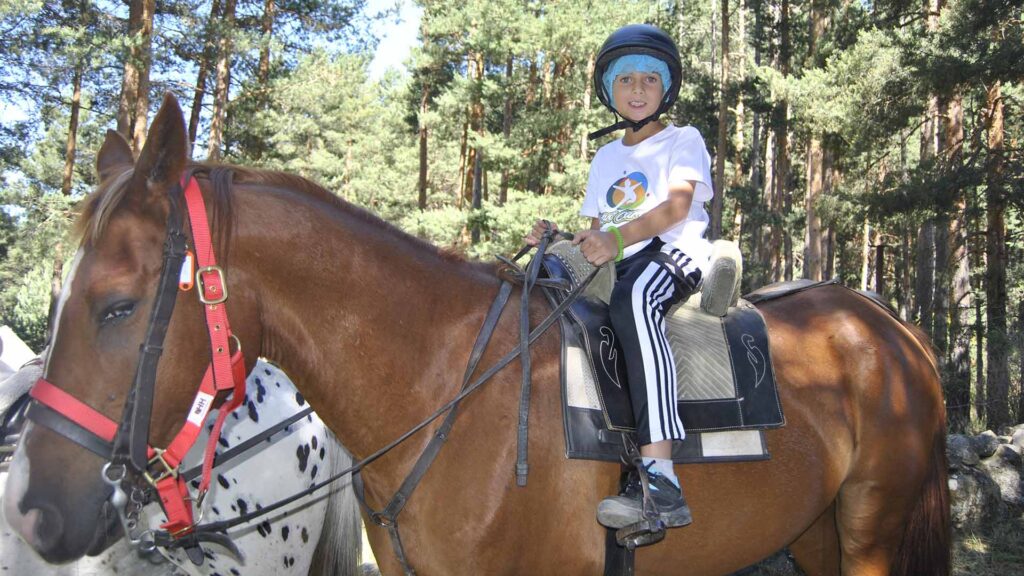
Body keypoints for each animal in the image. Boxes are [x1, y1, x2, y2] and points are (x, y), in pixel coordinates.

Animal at [4, 95, 946, 573]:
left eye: (117, 306)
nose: (34, 513)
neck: (443, 388)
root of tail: (892, 331)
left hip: (870, 530)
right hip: (813, 535)